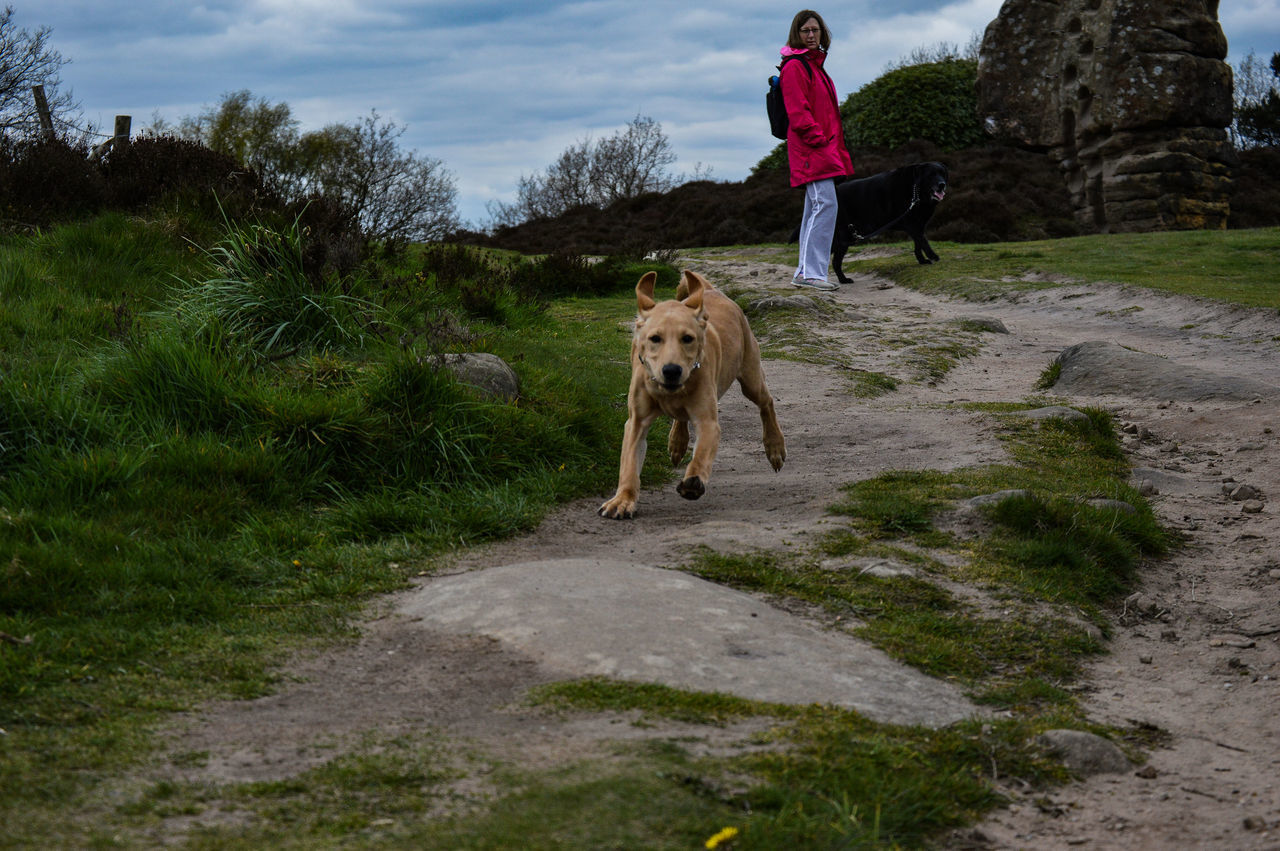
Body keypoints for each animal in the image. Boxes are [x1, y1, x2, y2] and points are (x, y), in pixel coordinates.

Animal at [596, 270, 778, 516]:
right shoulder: (636, 421)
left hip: (750, 377)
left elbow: (701, 452)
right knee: (680, 417)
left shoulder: (707, 420)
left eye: (688, 338)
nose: (672, 371)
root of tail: (710, 290)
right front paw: (622, 500)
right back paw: (677, 441)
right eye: (655, 338)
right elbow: (629, 463)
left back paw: (775, 446)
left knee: (766, 402)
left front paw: (693, 481)